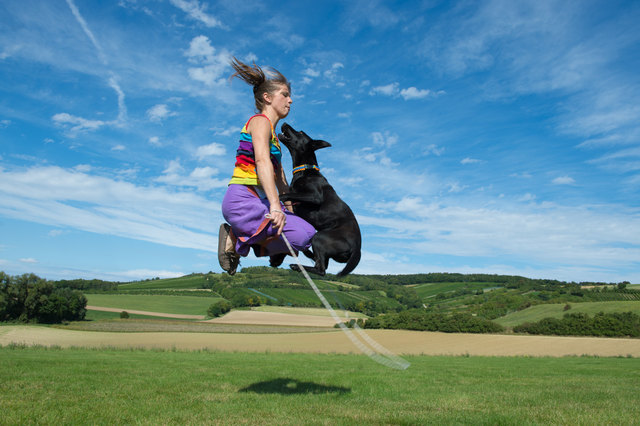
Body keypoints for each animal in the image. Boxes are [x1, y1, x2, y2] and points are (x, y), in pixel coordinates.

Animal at [276, 123, 362, 276]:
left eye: (300, 132)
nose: (284, 123)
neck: (305, 170)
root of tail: (357, 248)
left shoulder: (315, 196)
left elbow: (285, 195)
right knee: (321, 265)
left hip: (320, 238)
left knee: (321, 270)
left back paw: (297, 265)